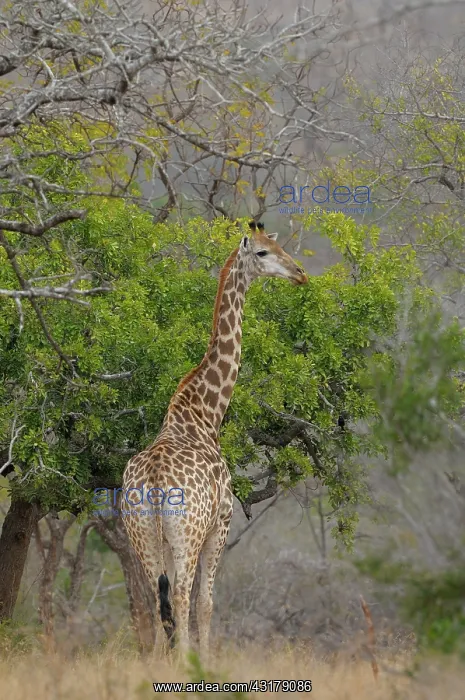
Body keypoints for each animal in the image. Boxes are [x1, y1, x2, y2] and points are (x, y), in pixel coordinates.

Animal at [122, 222, 308, 660]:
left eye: (278, 245)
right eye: (262, 253)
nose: (300, 274)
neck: (205, 414)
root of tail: (155, 481)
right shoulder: (221, 522)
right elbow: (206, 602)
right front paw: (204, 661)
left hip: (144, 536)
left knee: (157, 599)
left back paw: (158, 662)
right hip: (186, 534)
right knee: (182, 595)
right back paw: (185, 661)